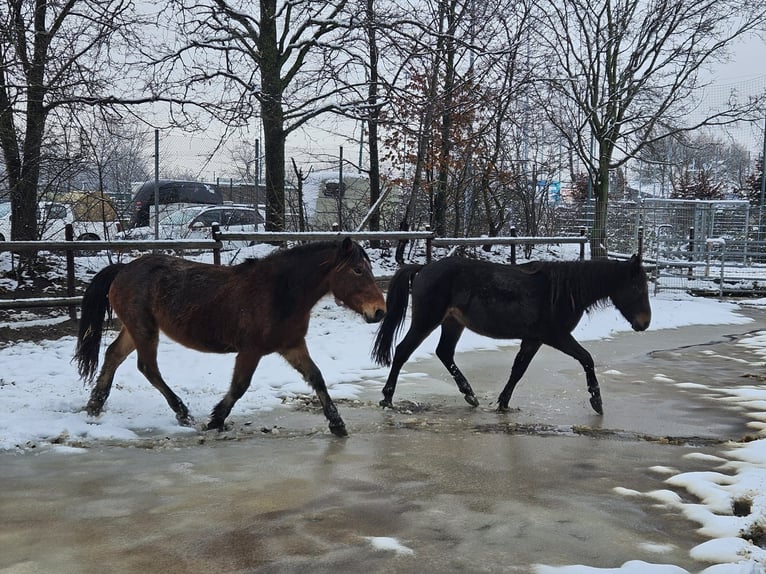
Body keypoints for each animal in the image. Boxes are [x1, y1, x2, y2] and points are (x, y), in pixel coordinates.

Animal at [75, 238, 388, 436]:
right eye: (358, 270)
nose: (379, 311)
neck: (279, 292)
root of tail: (123, 269)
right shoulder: (251, 350)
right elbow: (239, 386)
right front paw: (216, 419)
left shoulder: (292, 346)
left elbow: (317, 378)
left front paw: (337, 424)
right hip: (145, 330)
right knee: (147, 367)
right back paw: (182, 412)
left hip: (135, 329)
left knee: (113, 356)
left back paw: (94, 405)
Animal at [376, 256, 652, 414]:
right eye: (637, 288)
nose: (644, 323)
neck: (561, 292)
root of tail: (423, 268)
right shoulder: (556, 336)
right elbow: (586, 358)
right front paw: (597, 401)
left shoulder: (533, 339)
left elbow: (518, 370)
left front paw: (503, 403)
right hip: (426, 321)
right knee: (402, 351)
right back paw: (387, 398)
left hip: (452, 323)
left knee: (444, 353)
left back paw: (470, 394)